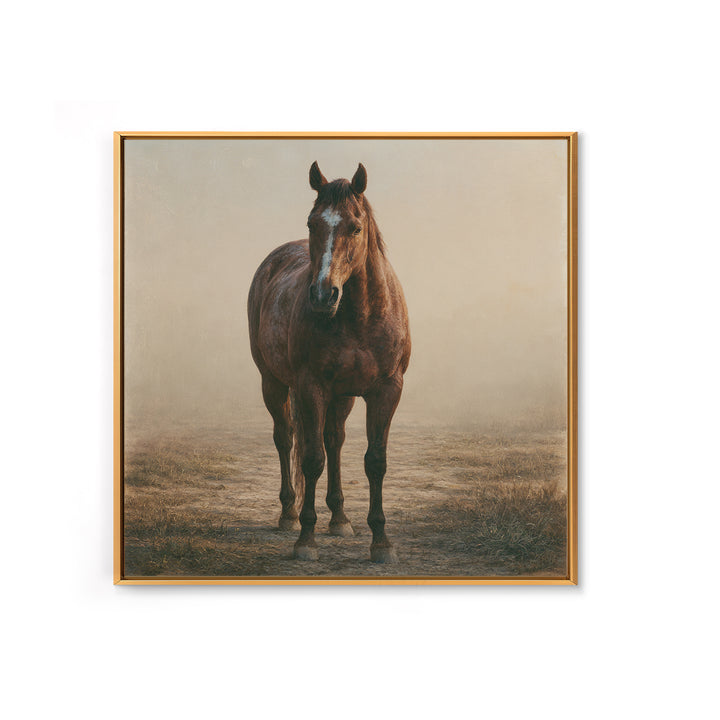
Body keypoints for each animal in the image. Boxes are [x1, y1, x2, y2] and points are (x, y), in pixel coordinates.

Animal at [247, 162, 411, 562]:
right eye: (312, 224)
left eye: (355, 226)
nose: (323, 295)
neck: (360, 316)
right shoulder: (310, 387)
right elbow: (311, 459)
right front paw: (306, 540)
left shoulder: (387, 390)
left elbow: (375, 461)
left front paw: (381, 541)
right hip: (273, 383)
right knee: (286, 437)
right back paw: (289, 514)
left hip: (343, 395)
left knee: (334, 439)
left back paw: (339, 517)